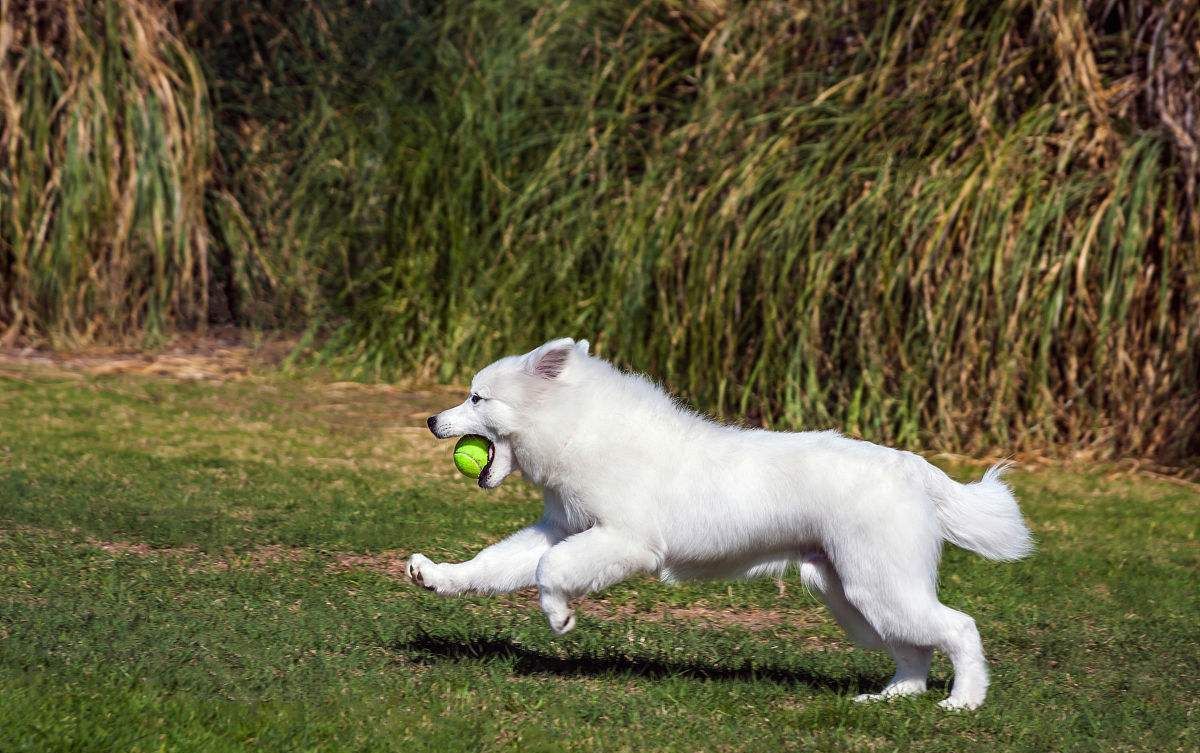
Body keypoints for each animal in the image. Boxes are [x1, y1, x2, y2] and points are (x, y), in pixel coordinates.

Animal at [410, 338, 1032, 709]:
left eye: (476, 397)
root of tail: (912, 468)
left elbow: (548, 570)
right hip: (857, 597)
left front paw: (559, 617)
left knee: (959, 629)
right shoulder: (562, 528)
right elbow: (494, 565)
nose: (432, 420)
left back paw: (963, 702)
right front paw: (436, 576)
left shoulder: (622, 542)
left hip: (879, 585)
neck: (578, 427)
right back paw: (892, 700)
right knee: (915, 651)